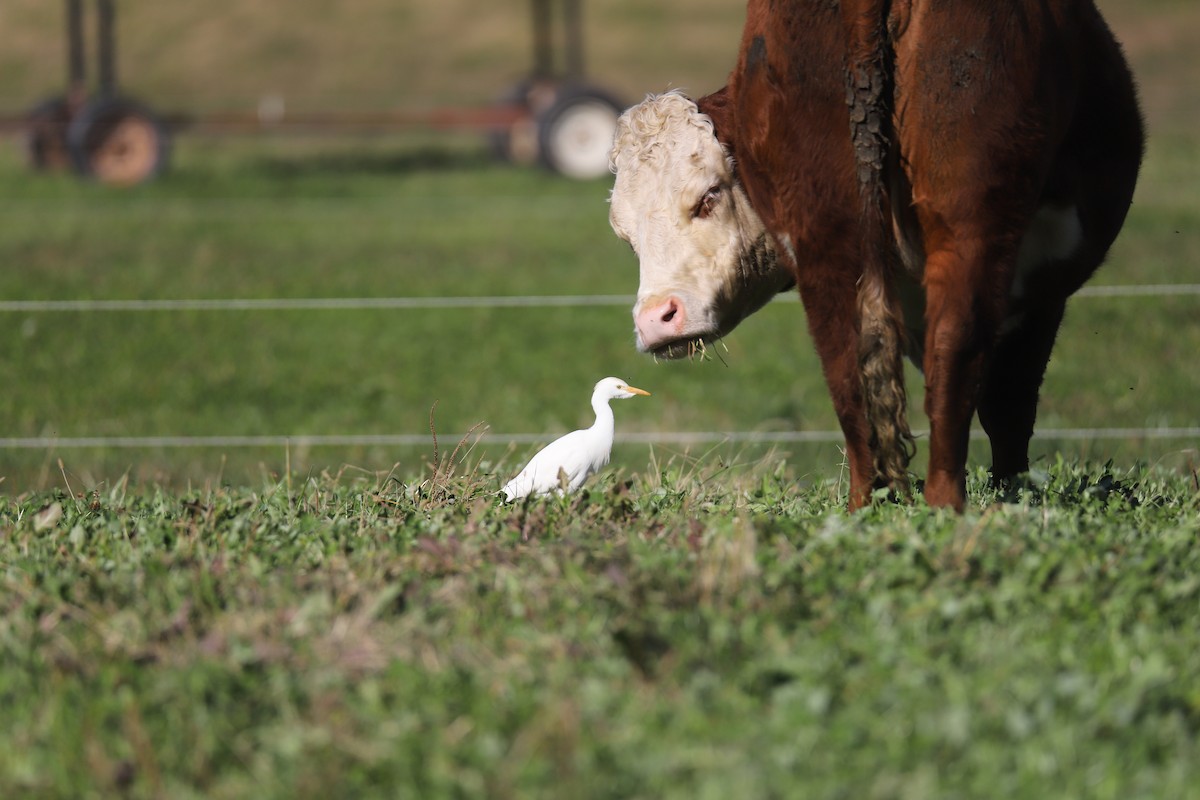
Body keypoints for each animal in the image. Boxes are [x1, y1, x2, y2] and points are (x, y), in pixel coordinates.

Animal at [608, 0, 1144, 511]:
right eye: (626, 236)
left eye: (709, 196)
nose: (656, 320)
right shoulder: (1037, 295)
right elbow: (1007, 404)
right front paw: (1014, 492)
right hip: (970, 224)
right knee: (955, 354)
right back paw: (947, 507)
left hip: (827, 236)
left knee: (847, 367)